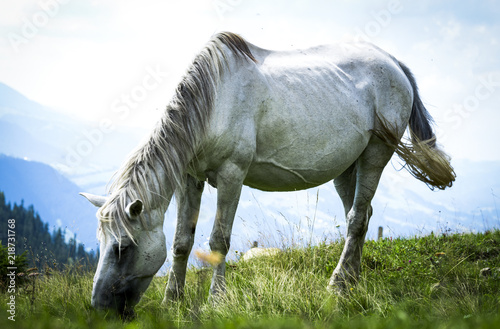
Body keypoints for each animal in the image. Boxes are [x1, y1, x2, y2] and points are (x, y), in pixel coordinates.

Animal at [80, 32, 456, 316]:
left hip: (375, 156)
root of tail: (393, 62)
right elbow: (181, 242)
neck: (214, 101)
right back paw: (352, 282)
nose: (99, 307)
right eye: (101, 243)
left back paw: (337, 284)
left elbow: (218, 241)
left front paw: (217, 300)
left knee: (356, 219)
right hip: (347, 167)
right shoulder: (191, 179)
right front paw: (172, 300)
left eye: (122, 247)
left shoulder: (231, 175)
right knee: (362, 217)